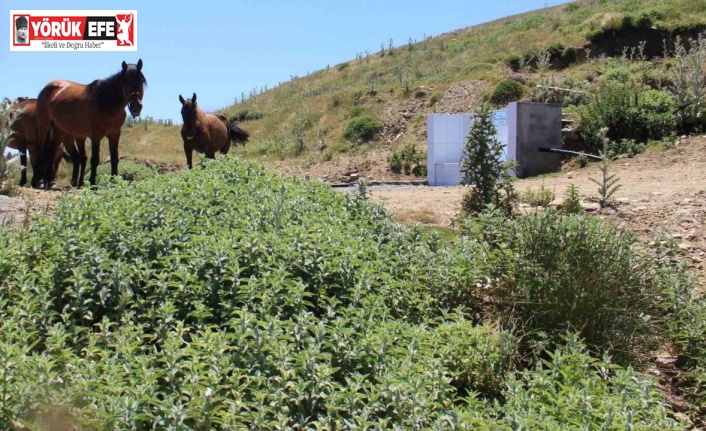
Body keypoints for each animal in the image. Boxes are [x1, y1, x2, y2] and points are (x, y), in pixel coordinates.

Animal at [36, 58, 146, 187]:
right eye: (126, 82)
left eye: (141, 81)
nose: (136, 107)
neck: (106, 103)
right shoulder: (96, 136)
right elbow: (95, 159)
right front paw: (93, 183)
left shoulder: (115, 134)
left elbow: (114, 158)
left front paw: (114, 181)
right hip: (44, 126)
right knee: (43, 152)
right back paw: (42, 182)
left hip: (60, 131)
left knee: (52, 153)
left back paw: (50, 182)